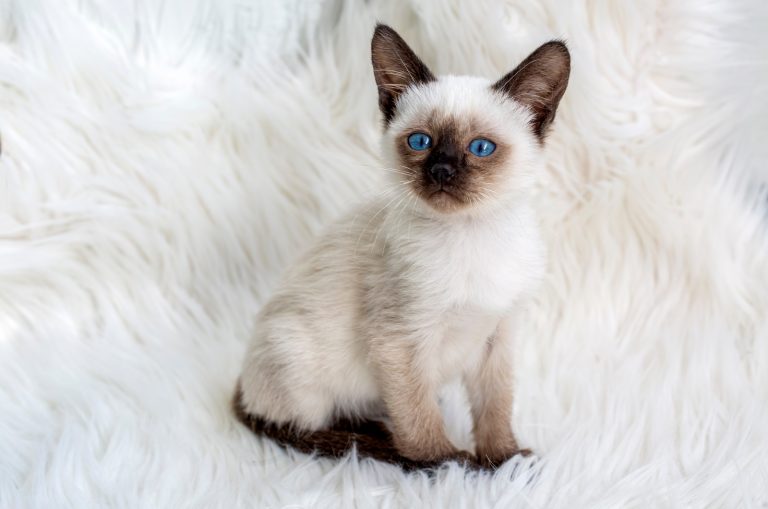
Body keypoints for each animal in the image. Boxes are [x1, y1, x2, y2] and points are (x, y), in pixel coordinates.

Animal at [236, 22, 568, 468]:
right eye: (420, 142)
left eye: (480, 148)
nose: (441, 170)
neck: (471, 233)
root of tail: (244, 383)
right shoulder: (400, 341)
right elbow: (419, 416)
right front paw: (446, 464)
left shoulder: (497, 336)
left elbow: (494, 408)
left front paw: (504, 461)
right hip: (299, 361)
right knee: (297, 426)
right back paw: (378, 442)